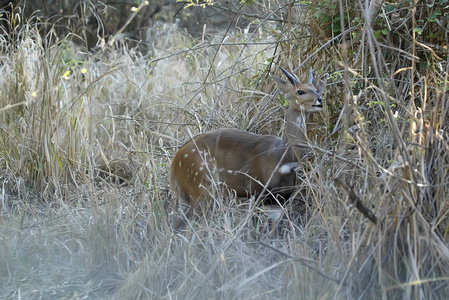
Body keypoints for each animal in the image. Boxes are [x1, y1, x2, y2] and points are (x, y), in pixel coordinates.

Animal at [170, 66, 328, 230]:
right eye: (300, 91)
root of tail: (174, 166)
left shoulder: (281, 198)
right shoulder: (257, 191)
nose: (319, 100)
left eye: (316, 89)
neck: (283, 158)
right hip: (200, 189)